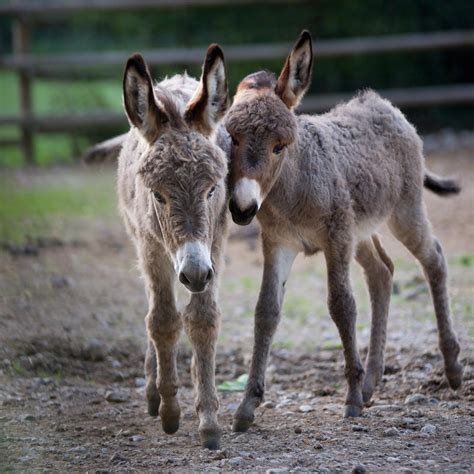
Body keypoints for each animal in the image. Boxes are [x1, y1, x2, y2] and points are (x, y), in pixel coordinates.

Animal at [117, 45, 231, 448]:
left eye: (212, 189)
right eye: (158, 195)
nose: (194, 273)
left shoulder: (214, 243)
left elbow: (203, 319)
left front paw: (209, 419)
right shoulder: (152, 246)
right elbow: (163, 321)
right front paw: (169, 411)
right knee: (154, 310)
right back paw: (154, 392)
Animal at [225, 27, 462, 432]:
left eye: (279, 147)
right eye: (233, 138)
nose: (242, 208)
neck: (293, 187)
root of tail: (383, 104)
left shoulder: (336, 238)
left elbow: (341, 305)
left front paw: (349, 398)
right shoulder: (279, 243)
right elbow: (266, 312)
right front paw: (247, 406)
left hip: (403, 212)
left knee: (434, 260)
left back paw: (451, 368)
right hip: (361, 230)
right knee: (382, 272)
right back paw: (371, 383)